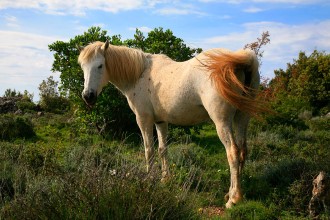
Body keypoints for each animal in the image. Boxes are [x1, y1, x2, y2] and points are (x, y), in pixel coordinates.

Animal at [77, 40, 262, 208]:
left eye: (100, 65)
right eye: (83, 67)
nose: (88, 96)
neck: (139, 73)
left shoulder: (143, 119)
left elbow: (149, 150)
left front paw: (148, 179)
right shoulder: (161, 121)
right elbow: (162, 149)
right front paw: (165, 178)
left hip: (222, 122)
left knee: (233, 153)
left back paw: (233, 199)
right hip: (241, 118)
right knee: (242, 150)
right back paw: (233, 193)